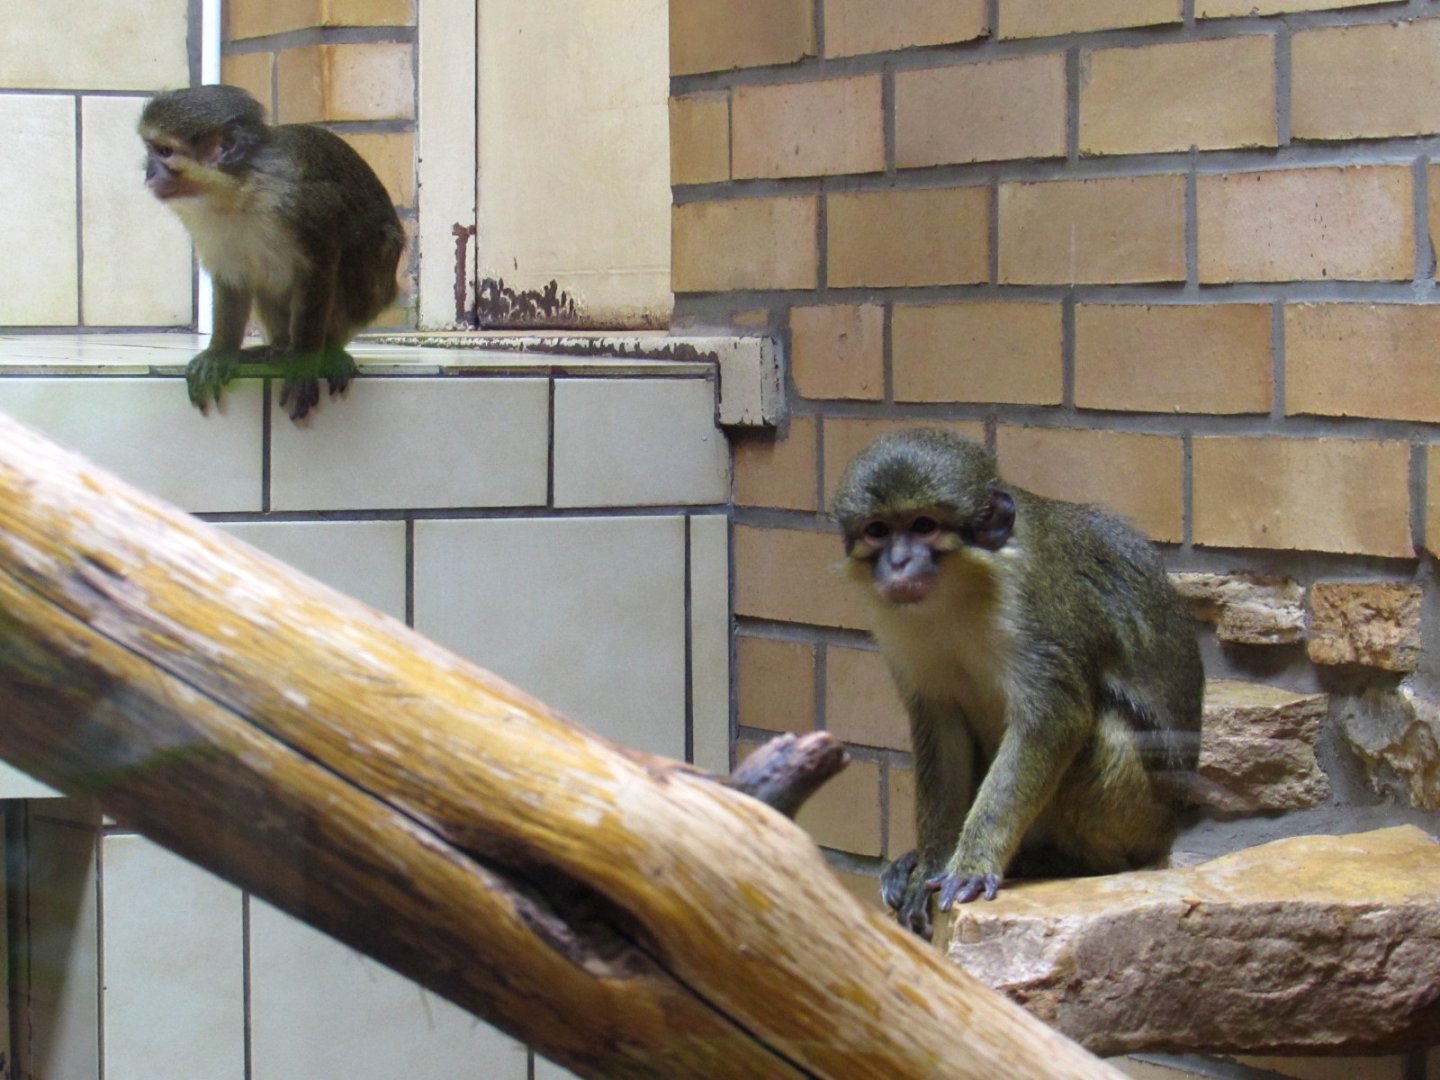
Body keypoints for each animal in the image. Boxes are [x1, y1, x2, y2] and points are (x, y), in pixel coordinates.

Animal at [139, 85, 404, 420]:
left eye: (164, 151)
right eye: (151, 150)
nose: (148, 173)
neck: (237, 190)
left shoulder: (302, 203)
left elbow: (322, 262)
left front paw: (303, 361)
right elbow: (233, 277)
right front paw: (221, 352)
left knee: (365, 244)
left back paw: (327, 348)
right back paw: (277, 346)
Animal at [831, 428, 1202, 940]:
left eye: (924, 525)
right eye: (878, 531)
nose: (899, 562)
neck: (958, 593)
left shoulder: (1038, 608)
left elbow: (1055, 717)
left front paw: (972, 862)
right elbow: (941, 734)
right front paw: (928, 867)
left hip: (1148, 821)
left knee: (1105, 732)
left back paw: (1070, 862)